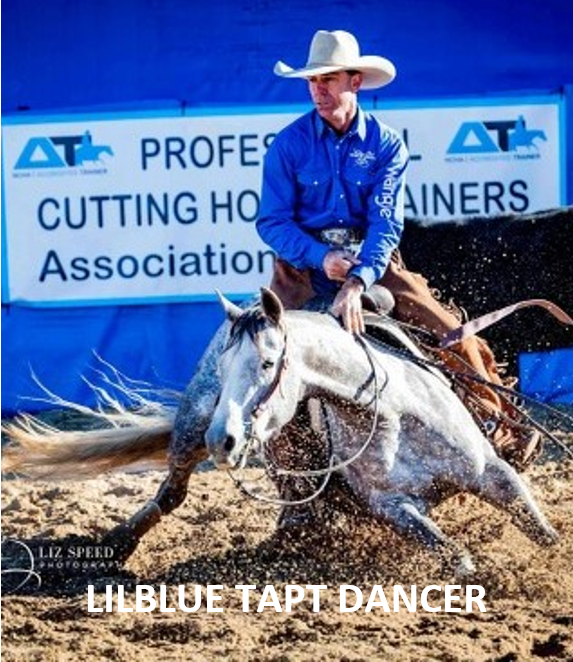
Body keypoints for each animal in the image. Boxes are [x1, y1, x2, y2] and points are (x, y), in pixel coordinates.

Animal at [1, 289, 559, 576]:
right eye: (223, 371)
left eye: (269, 364)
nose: (223, 441)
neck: (391, 413)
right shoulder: (394, 507)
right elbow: (457, 559)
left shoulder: (492, 472)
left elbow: (541, 532)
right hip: (191, 426)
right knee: (172, 490)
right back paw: (118, 542)